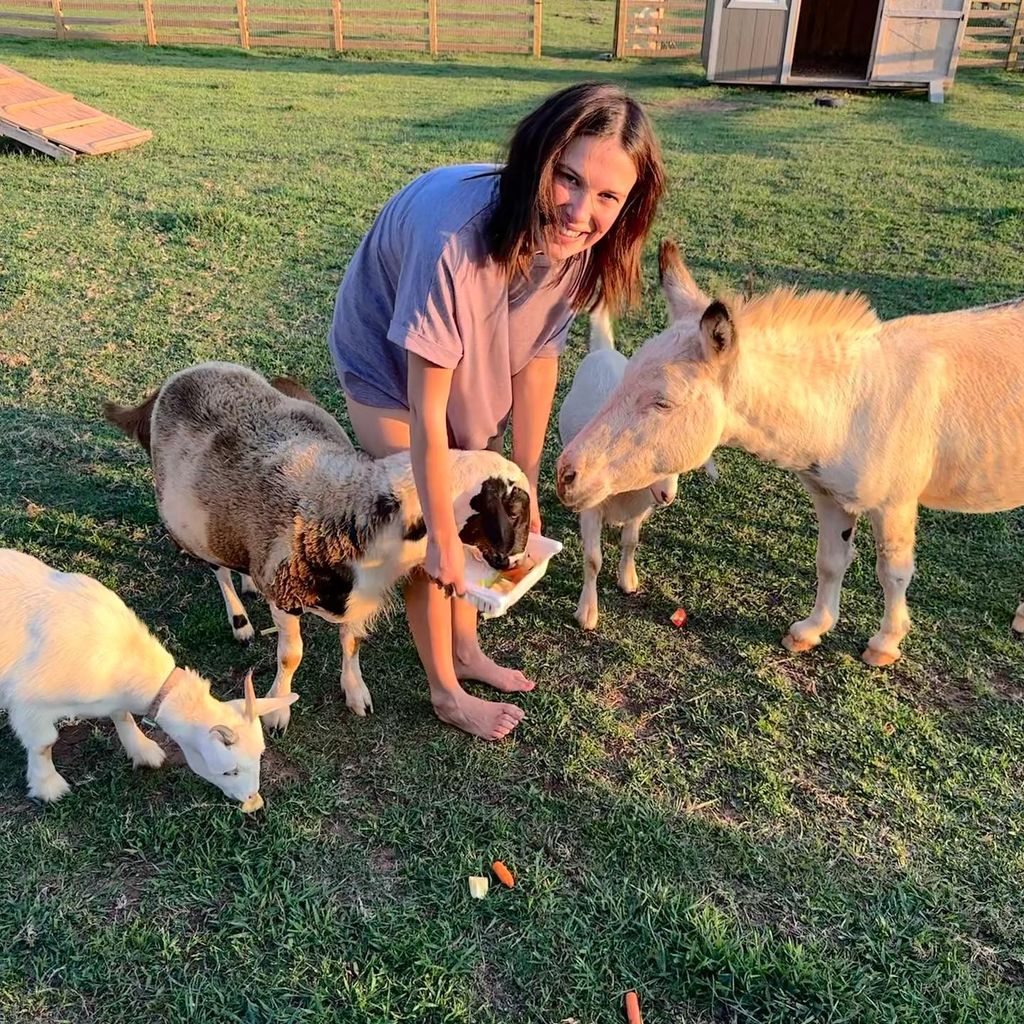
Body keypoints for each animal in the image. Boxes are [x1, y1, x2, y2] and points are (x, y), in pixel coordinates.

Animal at [0, 548, 296, 802]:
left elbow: (122, 714)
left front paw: (143, 751)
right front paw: (48, 787)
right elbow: (43, 743)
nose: (251, 799)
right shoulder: (29, 704)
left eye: (259, 757)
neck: (119, 652)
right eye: (229, 771)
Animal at [561, 242, 1024, 667]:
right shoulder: (831, 495)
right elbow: (831, 562)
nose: (566, 475)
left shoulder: (894, 504)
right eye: (624, 376)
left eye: (663, 402)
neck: (849, 405)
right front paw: (810, 631)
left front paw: (885, 644)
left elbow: (892, 573)